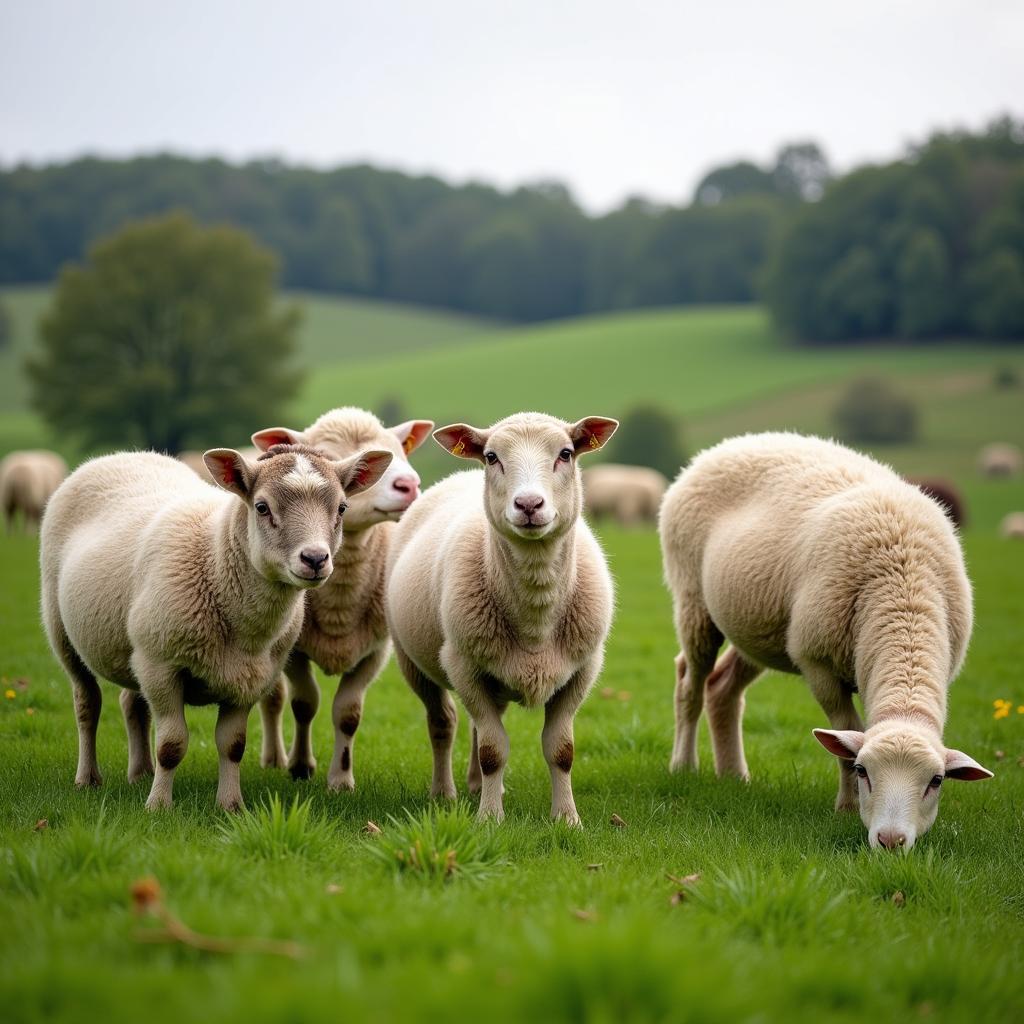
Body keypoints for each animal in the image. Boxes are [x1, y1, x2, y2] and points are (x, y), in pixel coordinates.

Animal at [39, 444, 391, 811]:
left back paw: (140, 772)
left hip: (135, 647)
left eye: (342, 508)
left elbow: (233, 745)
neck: (214, 556)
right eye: (262, 507)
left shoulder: (248, 678)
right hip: (63, 631)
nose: (315, 559)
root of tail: (121, 455)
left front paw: (230, 805)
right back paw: (88, 777)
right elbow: (171, 745)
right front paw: (159, 805)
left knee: (132, 704)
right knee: (87, 704)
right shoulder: (162, 667)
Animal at [254, 407, 436, 790]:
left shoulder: (375, 650)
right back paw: (275, 758)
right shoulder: (294, 651)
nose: (409, 485)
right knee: (273, 699)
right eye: (328, 457)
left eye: (397, 449)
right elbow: (304, 703)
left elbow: (348, 713)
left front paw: (341, 779)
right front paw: (300, 767)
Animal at [655, 432, 991, 847]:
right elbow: (848, 731)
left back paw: (734, 776)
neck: (904, 596)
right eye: (864, 771)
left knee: (721, 688)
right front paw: (846, 807)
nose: (890, 841)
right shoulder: (818, 664)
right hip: (693, 599)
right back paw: (684, 766)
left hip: (758, 627)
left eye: (937, 781)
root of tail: (725, 446)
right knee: (691, 684)